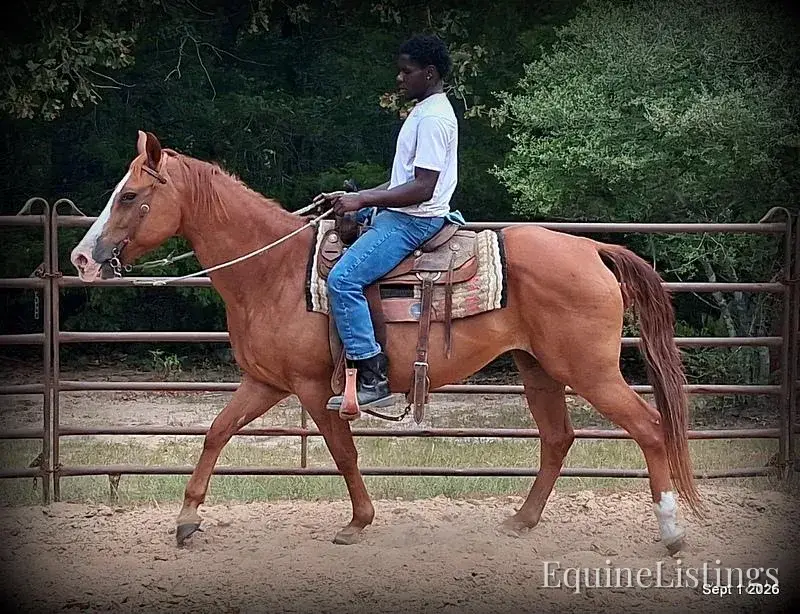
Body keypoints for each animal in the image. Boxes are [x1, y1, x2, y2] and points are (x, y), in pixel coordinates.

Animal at [70, 130, 701, 554]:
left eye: (130, 196)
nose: (80, 258)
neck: (271, 272)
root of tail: (591, 248)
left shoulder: (311, 387)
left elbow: (343, 451)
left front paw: (358, 521)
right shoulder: (264, 382)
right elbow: (215, 433)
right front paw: (186, 520)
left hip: (590, 371)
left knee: (649, 426)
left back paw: (671, 532)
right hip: (537, 368)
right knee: (558, 438)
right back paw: (521, 520)